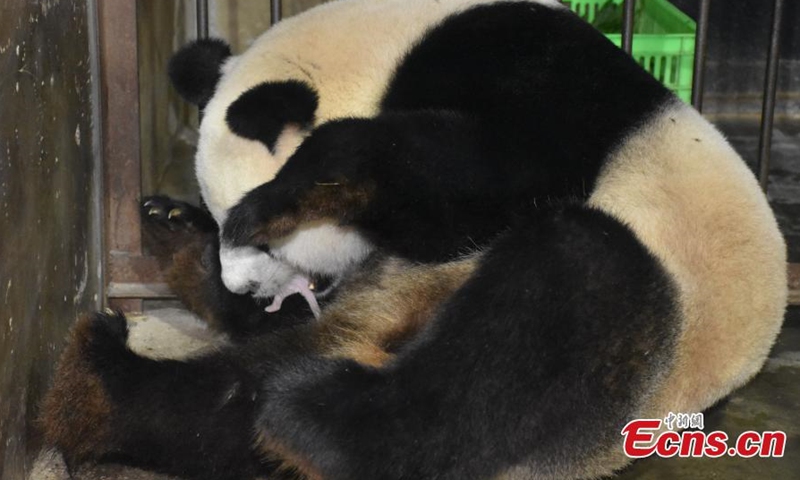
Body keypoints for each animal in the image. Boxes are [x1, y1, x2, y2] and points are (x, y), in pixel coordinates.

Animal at [40, 0, 784, 480]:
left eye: (267, 245)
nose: (244, 284)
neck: (385, 52)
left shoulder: (538, 77)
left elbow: (494, 178)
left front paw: (284, 194)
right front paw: (190, 225)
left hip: (659, 321)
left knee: (554, 302)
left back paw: (308, 420)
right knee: (230, 398)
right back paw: (135, 321)